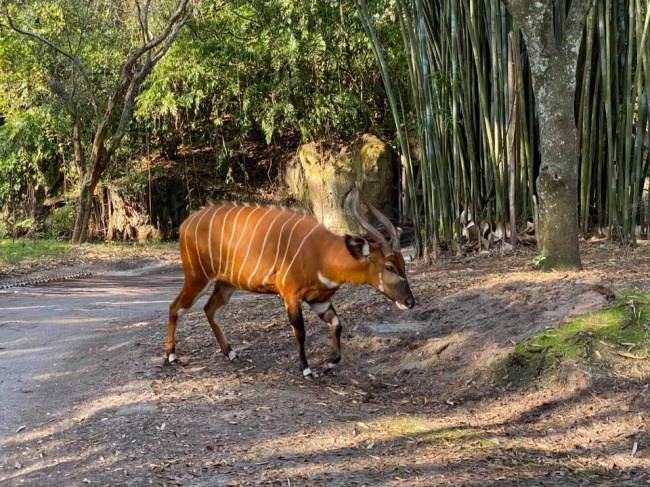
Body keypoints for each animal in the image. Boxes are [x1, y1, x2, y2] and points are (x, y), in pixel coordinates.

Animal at [165, 189, 412, 380]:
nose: (410, 301)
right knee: (175, 307)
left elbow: (337, 324)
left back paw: (231, 352)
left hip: (226, 284)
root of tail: (186, 223)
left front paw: (330, 362)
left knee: (210, 309)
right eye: (389, 267)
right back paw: (171, 355)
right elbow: (300, 330)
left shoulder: (319, 299)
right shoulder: (291, 294)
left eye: (403, 264)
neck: (322, 253)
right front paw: (306, 370)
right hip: (197, 277)